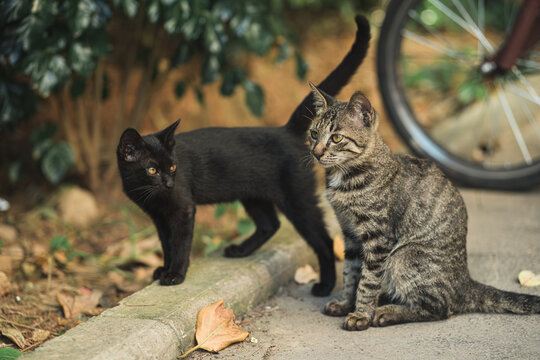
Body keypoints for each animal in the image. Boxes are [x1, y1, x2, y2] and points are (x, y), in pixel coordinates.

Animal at [116, 16, 374, 296]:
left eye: (173, 168)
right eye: (152, 169)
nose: (168, 183)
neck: (146, 192)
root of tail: (286, 130)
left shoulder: (182, 209)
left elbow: (180, 244)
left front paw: (175, 274)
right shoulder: (158, 216)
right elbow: (165, 244)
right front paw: (163, 269)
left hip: (297, 199)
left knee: (324, 241)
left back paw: (325, 286)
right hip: (253, 195)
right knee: (270, 224)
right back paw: (241, 250)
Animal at [308, 86, 540, 330]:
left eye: (336, 138)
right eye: (313, 134)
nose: (316, 152)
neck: (344, 179)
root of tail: (465, 282)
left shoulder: (378, 239)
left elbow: (368, 281)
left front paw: (361, 314)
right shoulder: (350, 235)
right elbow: (350, 274)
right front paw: (345, 304)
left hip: (402, 258)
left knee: (440, 309)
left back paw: (387, 312)